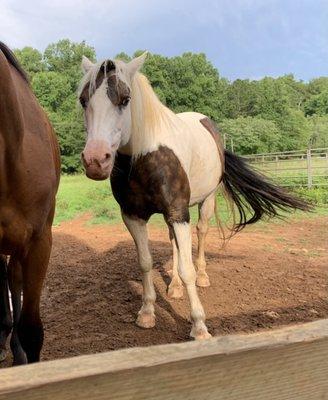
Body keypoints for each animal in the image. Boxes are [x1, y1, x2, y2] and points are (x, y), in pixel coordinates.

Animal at [78, 53, 308, 340]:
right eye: (83, 100)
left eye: (125, 98)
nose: (95, 160)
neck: (147, 156)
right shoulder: (134, 216)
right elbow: (145, 263)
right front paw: (147, 313)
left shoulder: (179, 212)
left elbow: (187, 267)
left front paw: (199, 325)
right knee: (175, 243)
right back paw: (174, 286)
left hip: (205, 202)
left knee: (201, 233)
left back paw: (203, 276)